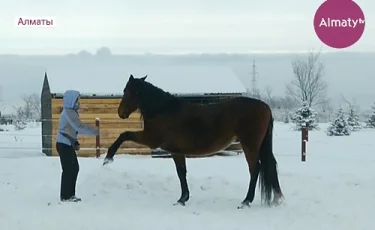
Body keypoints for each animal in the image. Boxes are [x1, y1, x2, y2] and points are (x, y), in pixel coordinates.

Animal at [103, 74, 284, 208]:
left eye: (128, 91)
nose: (120, 112)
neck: (163, 110)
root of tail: (266, 107)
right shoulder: (176, 151)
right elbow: (181, 173)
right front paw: (183, 198)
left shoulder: (152, 140)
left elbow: (124, 134)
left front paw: (108, 158)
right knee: (268, 166)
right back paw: (276, 198)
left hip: (249, 145)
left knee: (255, 169)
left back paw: (246, 201)